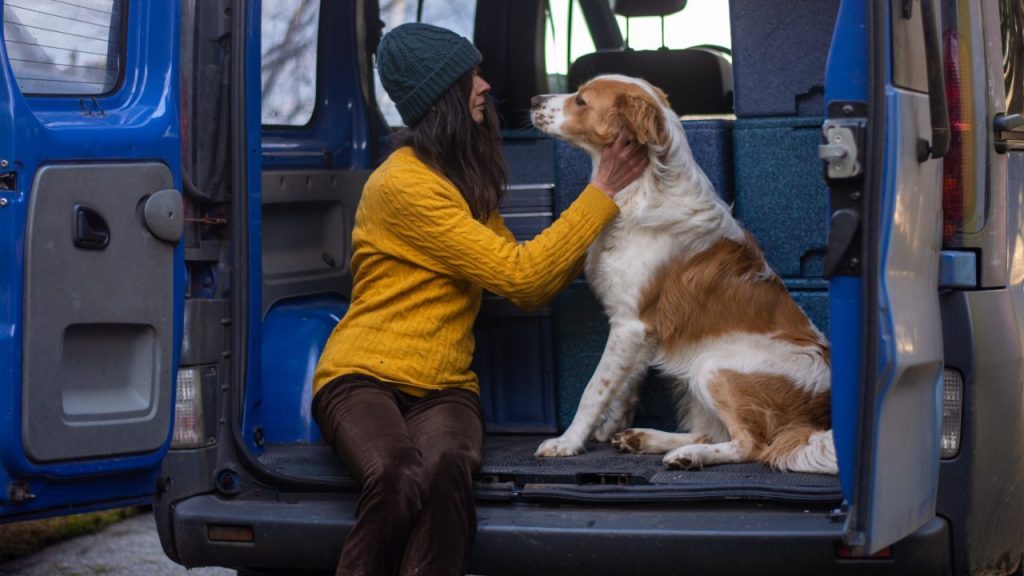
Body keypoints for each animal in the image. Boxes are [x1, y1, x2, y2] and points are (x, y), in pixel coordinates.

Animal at [532, 73, 835, 473]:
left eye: (581, 101)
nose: (534, 100)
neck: (641, 189)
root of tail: (812, 420)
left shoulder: (631, 324)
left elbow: (595, 388)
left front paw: (568, 442)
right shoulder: (640, 329)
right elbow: (624, 383)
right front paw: (611, 426)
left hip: (713, 367)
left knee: (751, 444)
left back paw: (687, 456)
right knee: (712, 432)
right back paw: (647, 439)